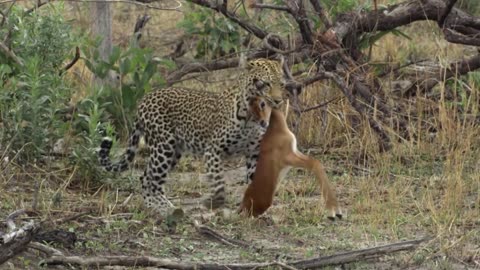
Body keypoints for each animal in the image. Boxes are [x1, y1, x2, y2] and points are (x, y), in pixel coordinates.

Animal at [97, 58, 284, 214]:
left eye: (281, 84)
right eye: (266, 84)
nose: (278, 101)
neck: (253, 114)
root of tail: (145, 98)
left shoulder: (254, 152)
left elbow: (255, 180)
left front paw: (255, 208)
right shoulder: (213, 150)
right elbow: (218, 182)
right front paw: (216, 202)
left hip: (174, 151)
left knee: (148, 176)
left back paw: (161, 204)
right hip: (163, 147)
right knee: (149, 178)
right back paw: (160, 207)